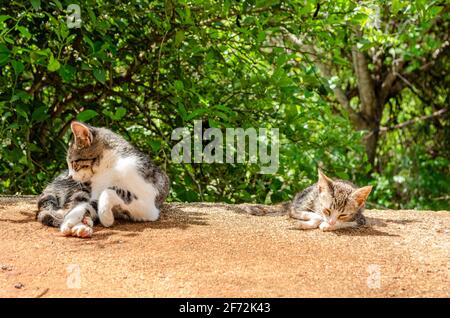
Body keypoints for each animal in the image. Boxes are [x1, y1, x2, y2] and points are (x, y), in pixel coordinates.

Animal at [36, 120, 171, 237]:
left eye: (74, 164)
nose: (70, 176)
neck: (108, 169)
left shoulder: (148, 204)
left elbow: (108, 191)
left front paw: (106, 218)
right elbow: (86, 205)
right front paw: (70, 220)